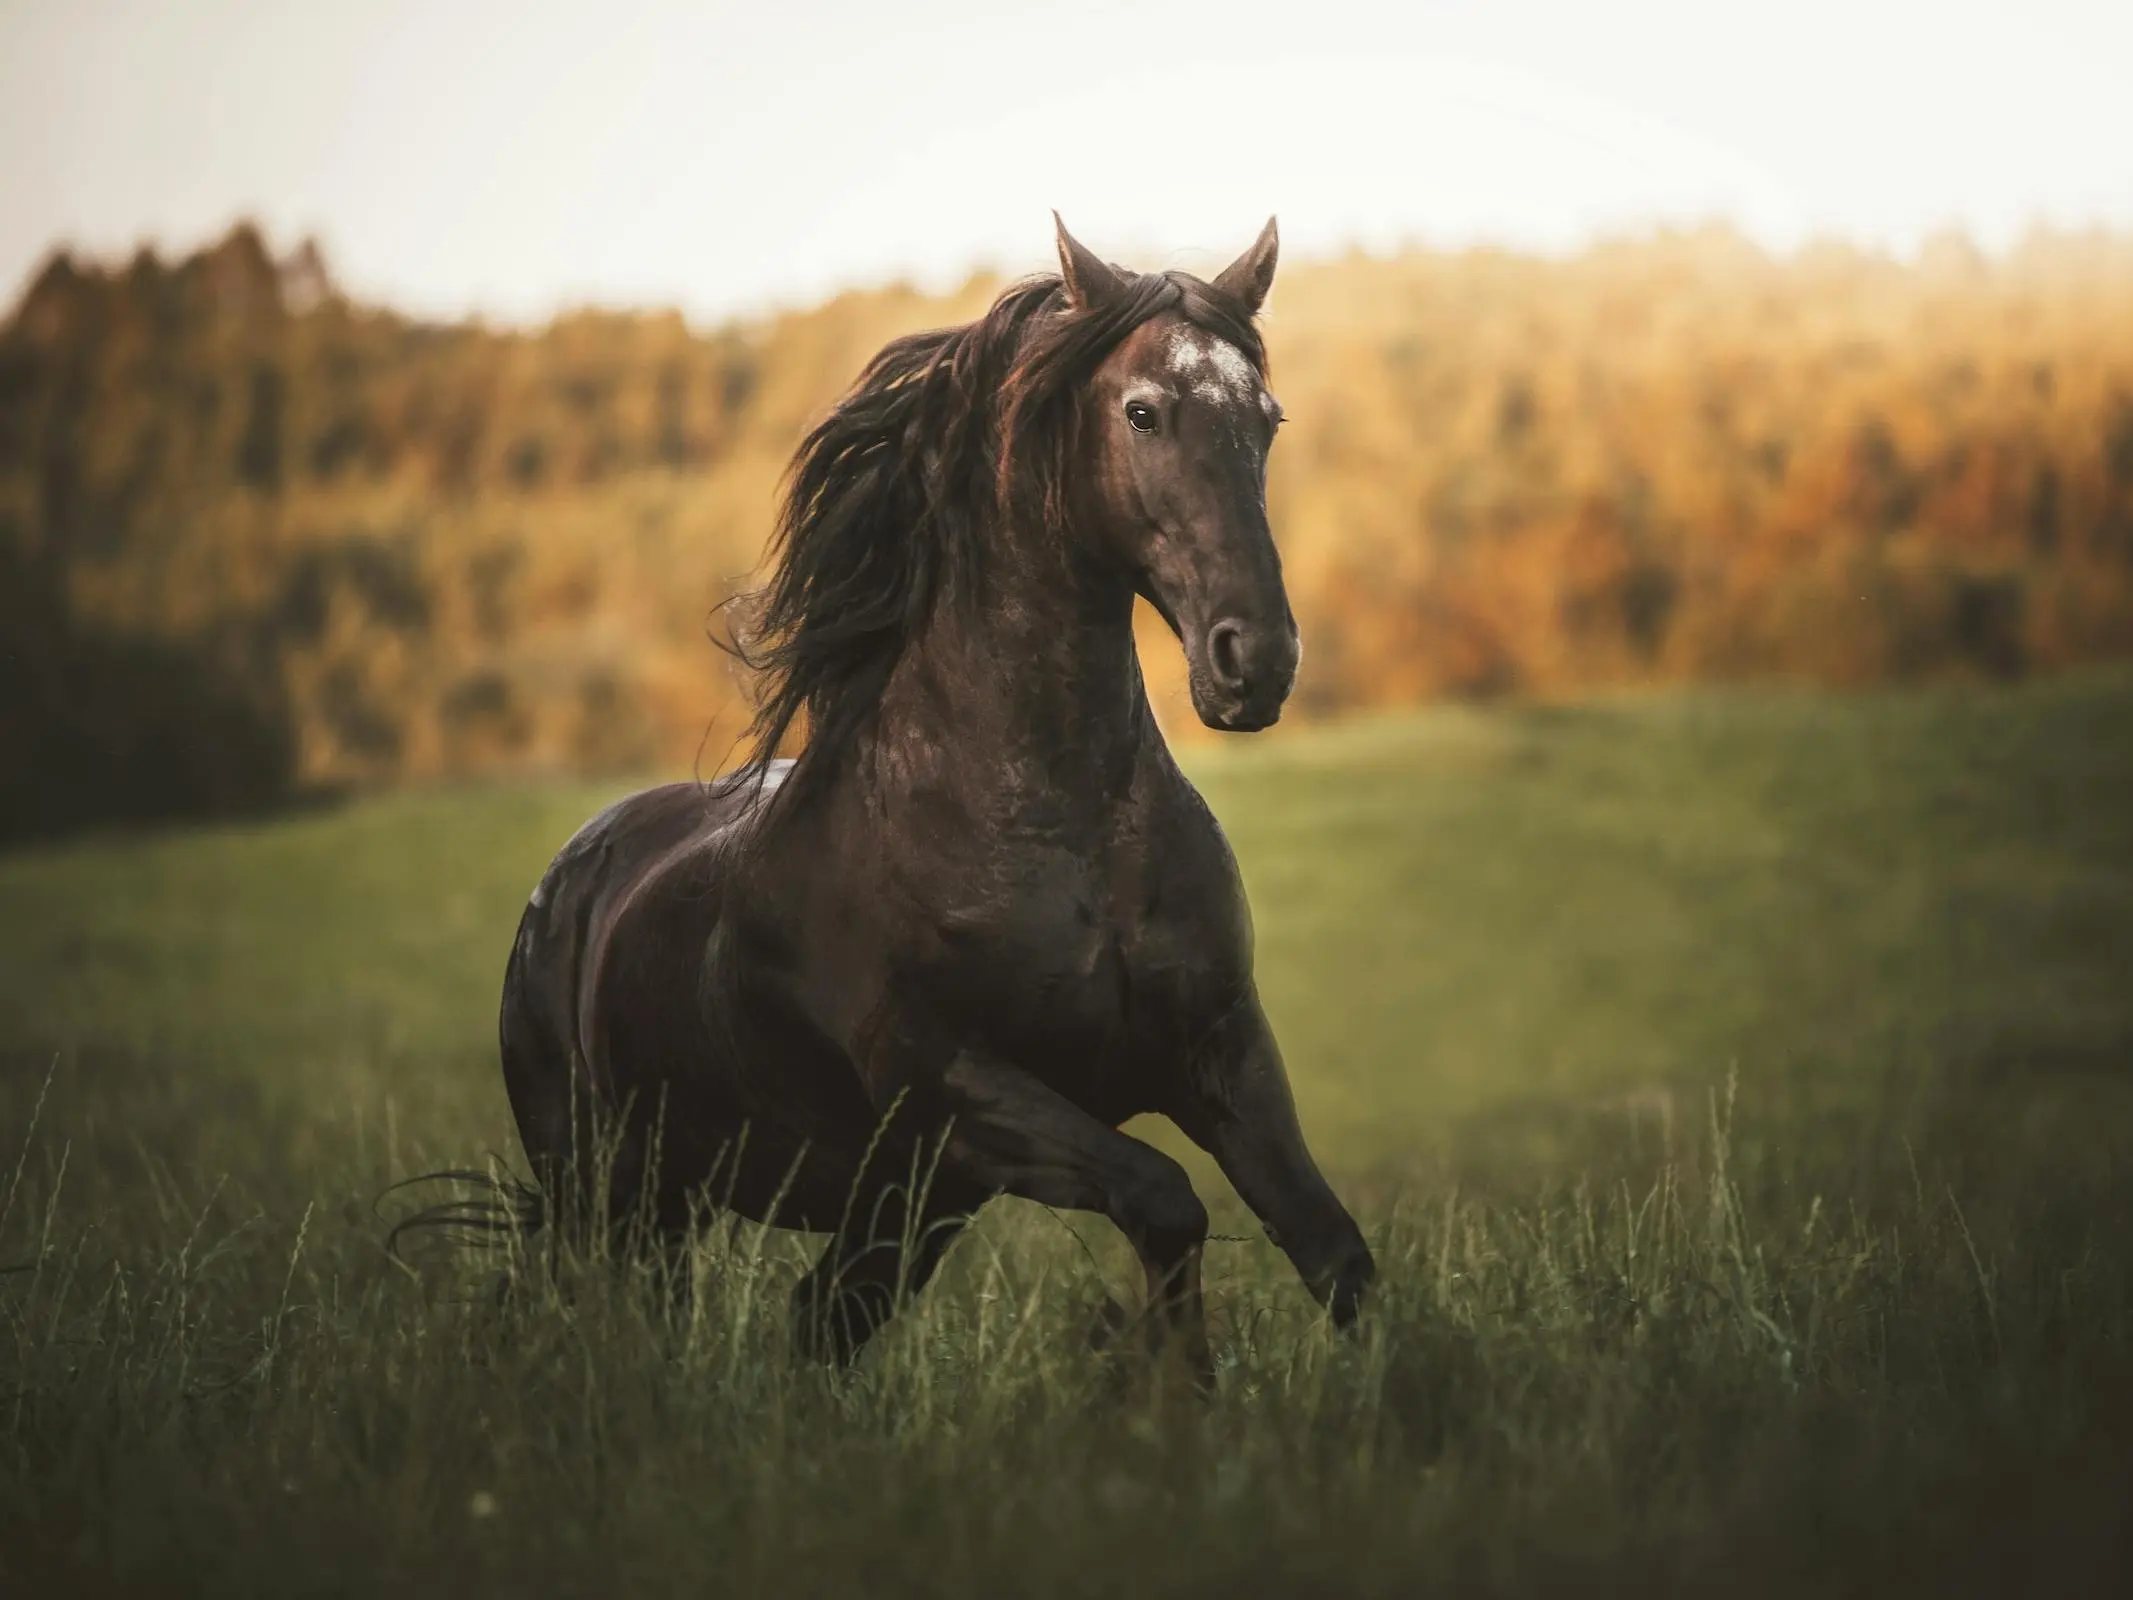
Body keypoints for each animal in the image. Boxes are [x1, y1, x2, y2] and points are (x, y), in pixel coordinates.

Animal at [492, 216, 1373, 1390]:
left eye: (1265, 420)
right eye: (1142, 411)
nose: (1257, 660)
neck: (1058, 833)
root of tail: (563, 884)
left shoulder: (1220, 1052)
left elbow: (1331, 1249)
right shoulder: (958, 1092)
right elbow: (1167, 1204)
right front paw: (1171, 1396)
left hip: (889, 1211)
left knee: (815, 1321)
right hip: (617, 1192)